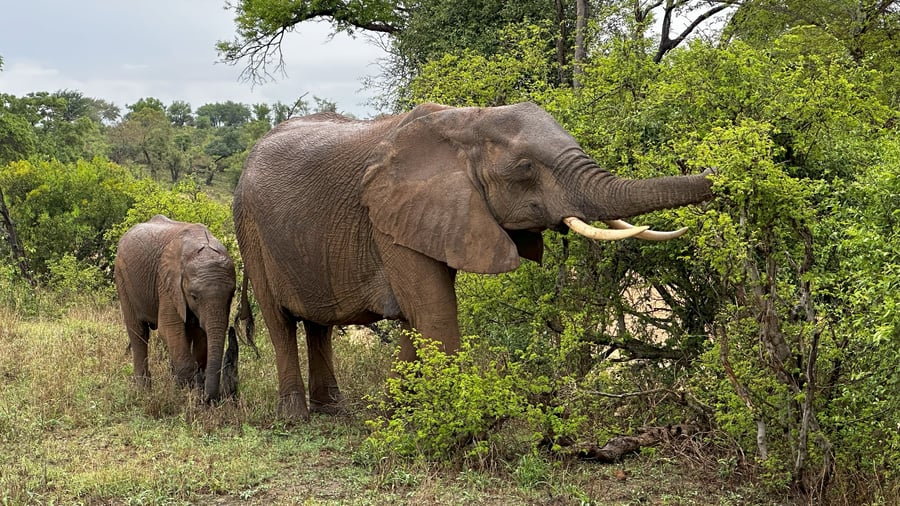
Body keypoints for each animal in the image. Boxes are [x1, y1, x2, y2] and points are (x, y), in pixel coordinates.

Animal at [114, 215, 237, 403]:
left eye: (232, 295)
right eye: (194, 296)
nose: (211, 399)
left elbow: (201, 334)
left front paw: (194, 390)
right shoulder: (167, 283)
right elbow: (169, 329)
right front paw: (186, 393)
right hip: (122, 278)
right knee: (138, 333)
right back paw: (143, 392)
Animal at [233, 102, 715, 420]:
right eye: (524, 169)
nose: (719, 174)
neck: (465, 121)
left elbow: (417, 317)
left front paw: (403, 412)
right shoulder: (388, 217)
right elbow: (434, 312)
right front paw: (452, 420)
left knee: (318, 325)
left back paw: (333, 410)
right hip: (250, 229)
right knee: (280, 322)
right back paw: (296, 418)